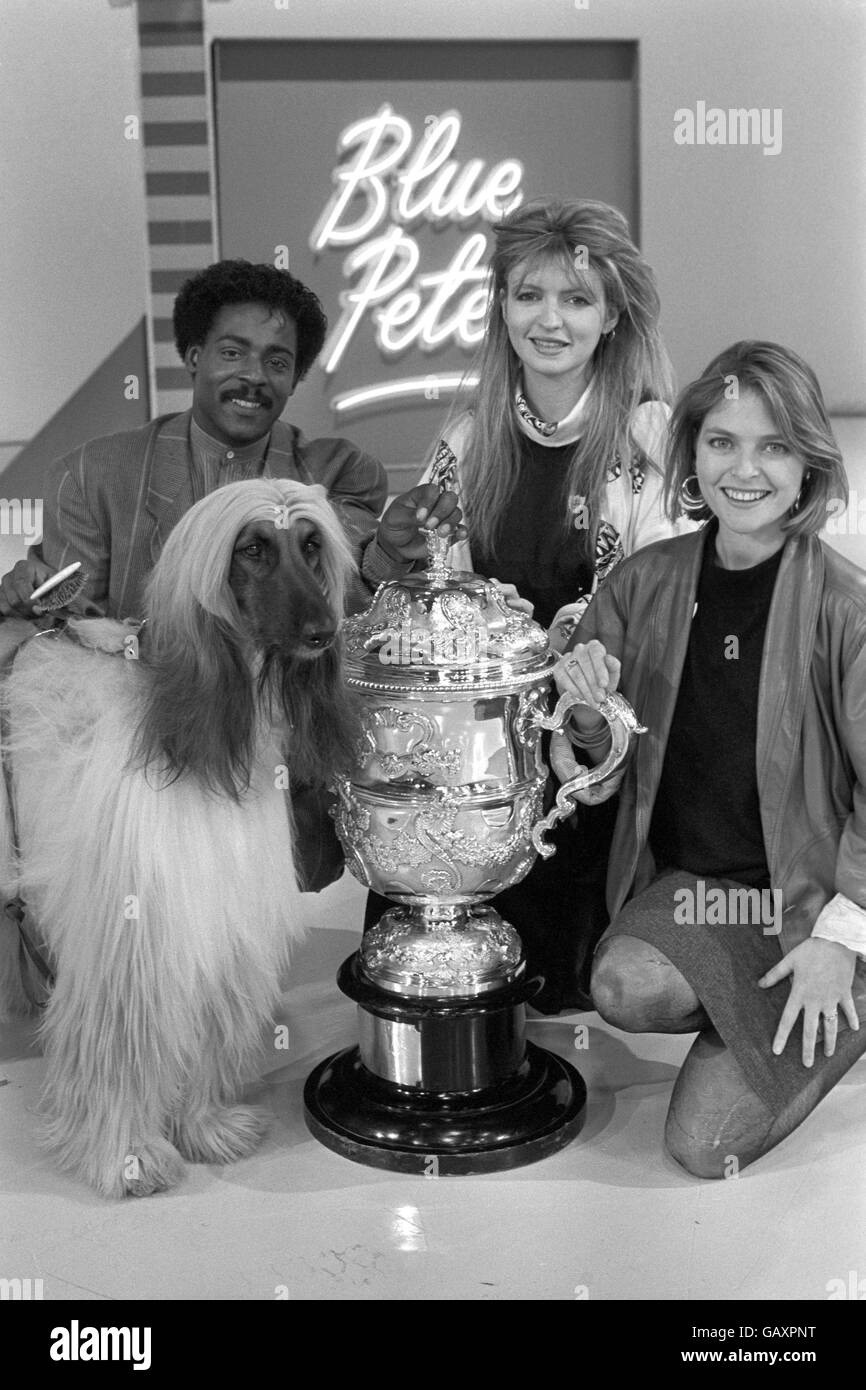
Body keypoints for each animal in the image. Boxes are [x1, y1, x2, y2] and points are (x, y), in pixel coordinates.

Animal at [0, 478, 358, 1195]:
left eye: (311, 545)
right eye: (253, 548)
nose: (322, 632)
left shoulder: (220, 913)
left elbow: (211, 1022)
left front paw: (205, 1126)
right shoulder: (135, 929)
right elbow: (124, 1040)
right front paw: (129, 1154)